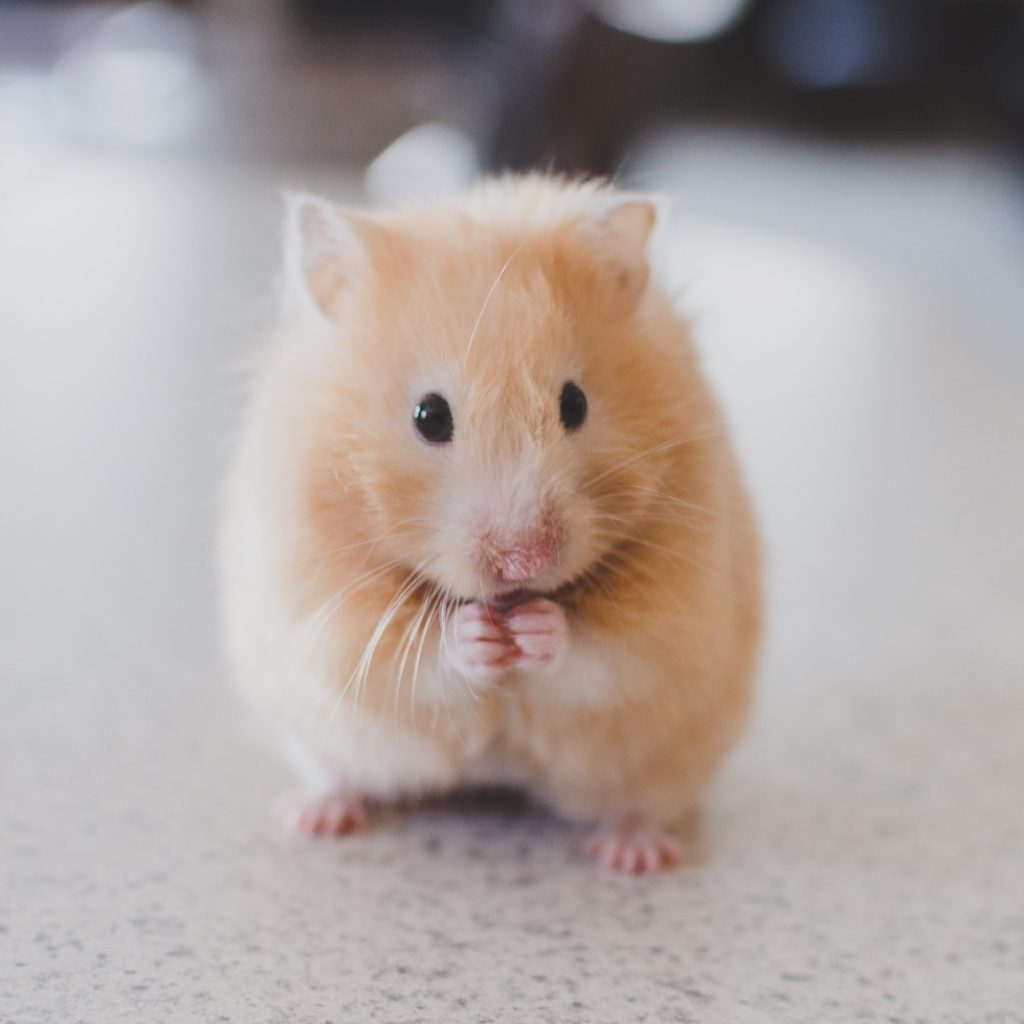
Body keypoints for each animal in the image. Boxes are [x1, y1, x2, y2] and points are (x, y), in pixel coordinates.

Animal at [220, 174, 761, 874]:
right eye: (429, 416)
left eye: (575, 403)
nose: (524, 561)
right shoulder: (323, 610)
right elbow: (412, 656)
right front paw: (478, 634)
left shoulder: (677, 617)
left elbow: (605, 653)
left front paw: (535, 630)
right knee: (338, 775)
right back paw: (312, 818)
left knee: (640, 802)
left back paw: (632, 856)